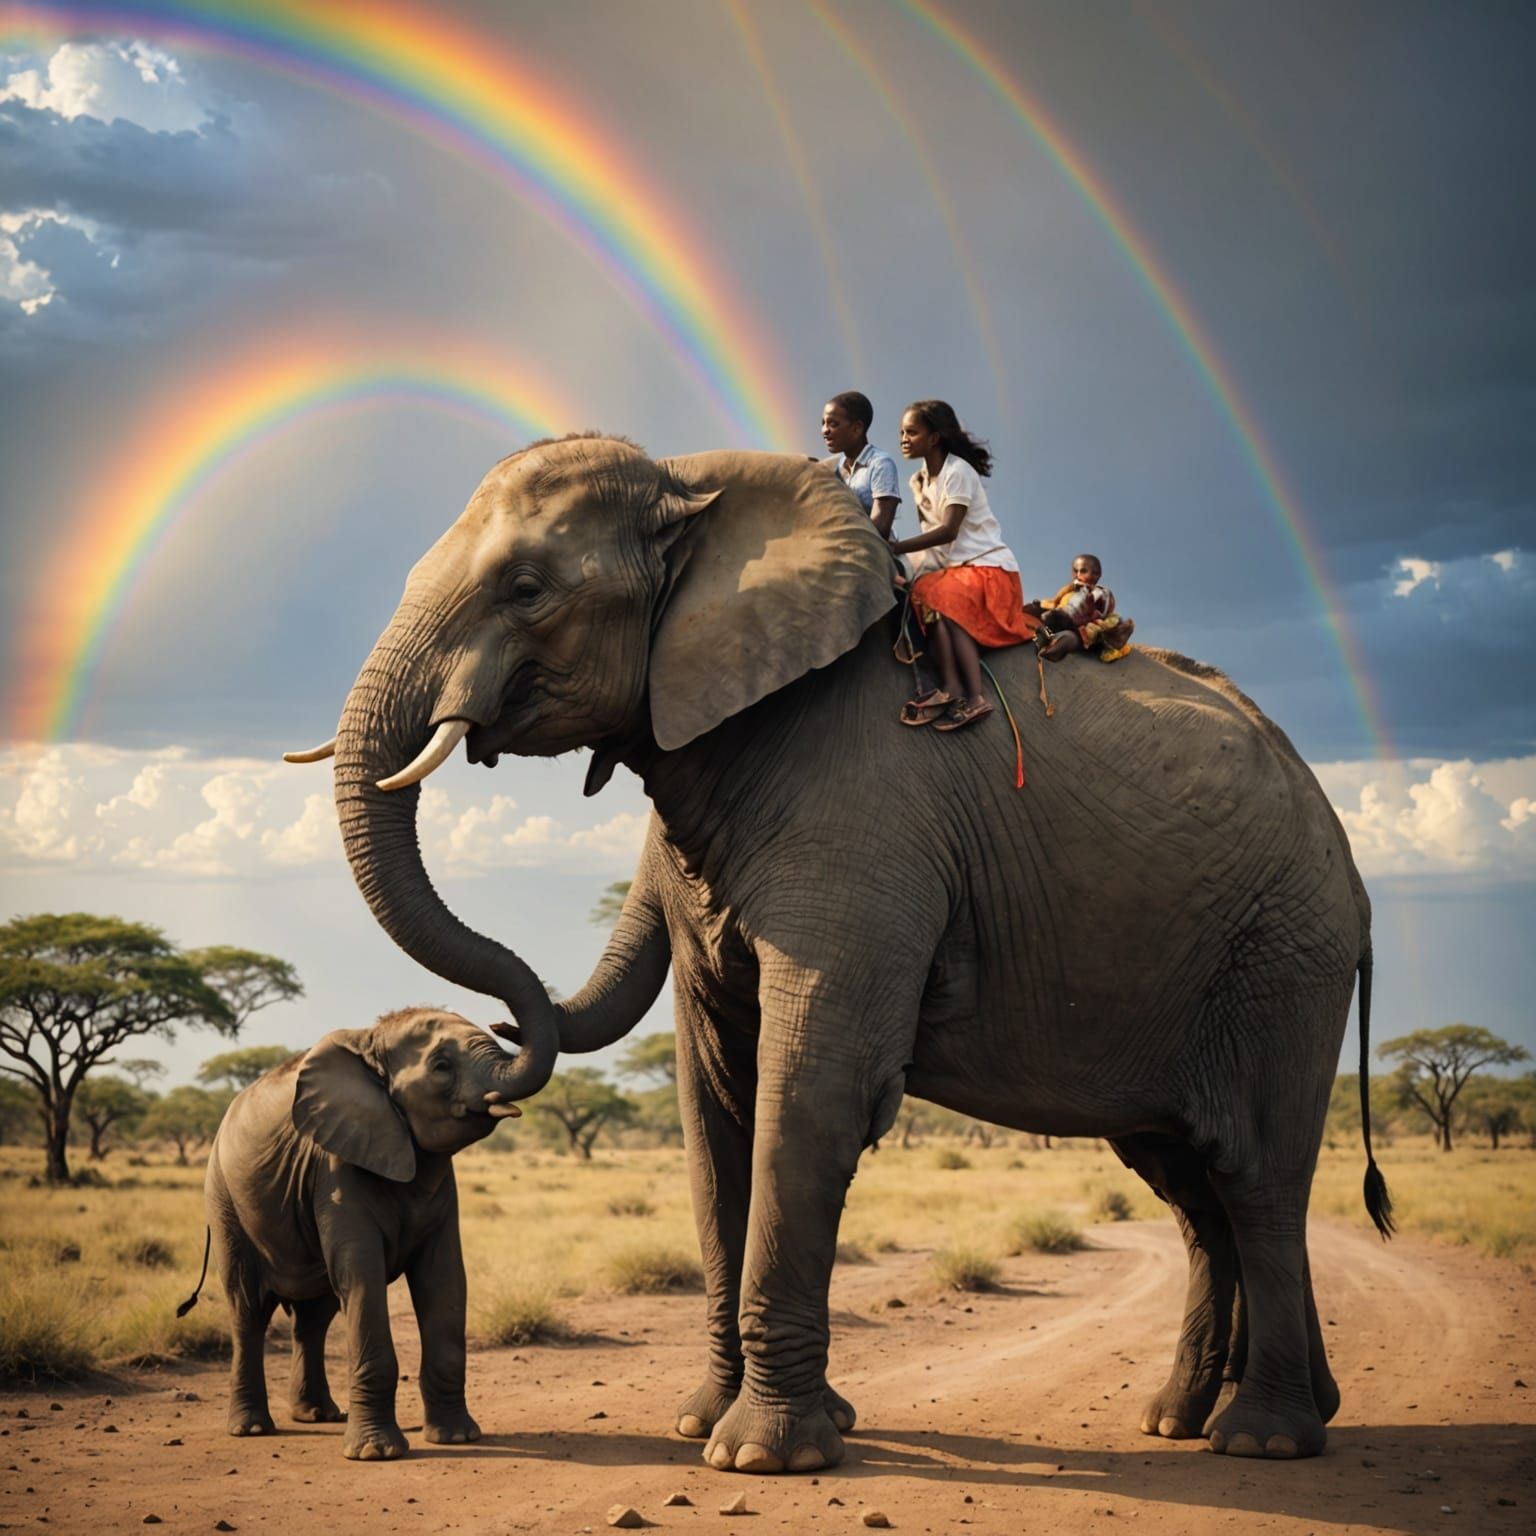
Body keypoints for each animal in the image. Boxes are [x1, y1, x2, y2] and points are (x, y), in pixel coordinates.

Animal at [185, 1006, 525, 1459]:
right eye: (441, 1066)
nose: (503, 1024)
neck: (371, 1045)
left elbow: (444, 1278)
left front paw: (457, 1437)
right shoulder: (336, 1168)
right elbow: (363, 1274)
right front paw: (376, 1453)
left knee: (314, 1316)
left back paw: (317, 1415)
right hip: (223, 1200)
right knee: (247, 1308)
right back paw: (252, 1428)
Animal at [288, 435, 1390, 1472]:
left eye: (526, 589)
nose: (501, 1027)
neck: (691, 485)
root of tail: (1354, 876)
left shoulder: (868, 815)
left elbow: (812, 1086)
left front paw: (763, 1455)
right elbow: (716, 1103)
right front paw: (707, 1427)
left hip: (1284, 954)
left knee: (1256, 1178)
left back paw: (1263, 1438)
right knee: (1194, 1193)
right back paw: (1191, 1421)